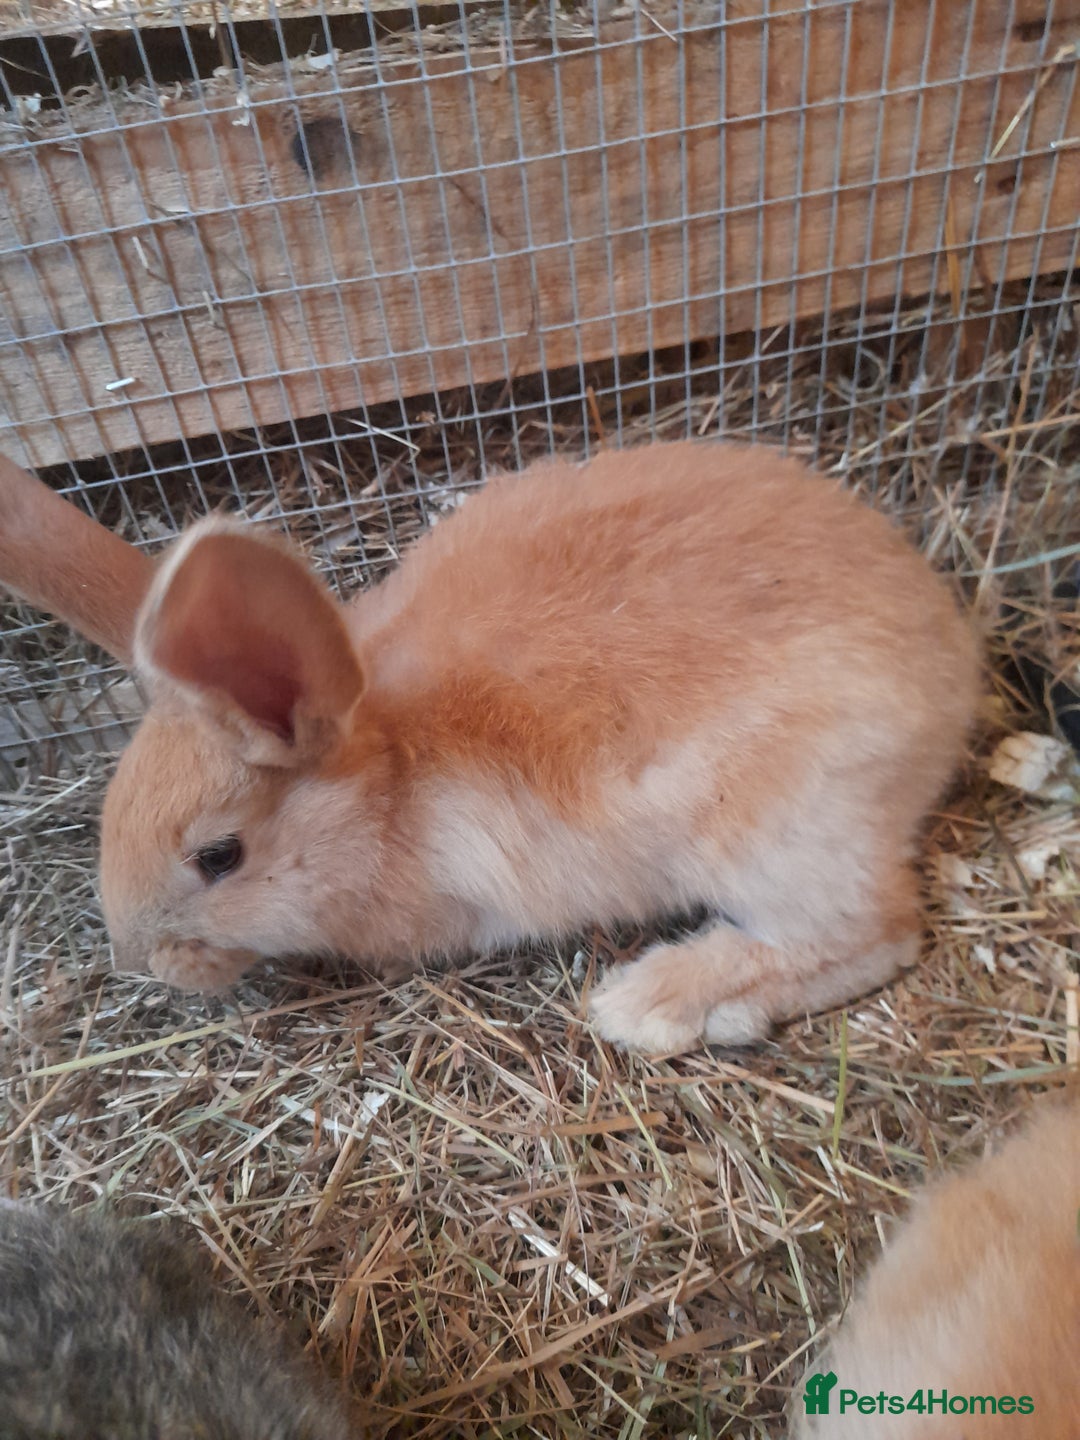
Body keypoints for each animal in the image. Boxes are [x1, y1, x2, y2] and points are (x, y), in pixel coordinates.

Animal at [0, 441, 980, 1053]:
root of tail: (951, 665)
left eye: (218, 857)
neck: (390, 776)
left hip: (774, 831)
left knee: (876, 932)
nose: (140, 960)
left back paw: (658, 1004)